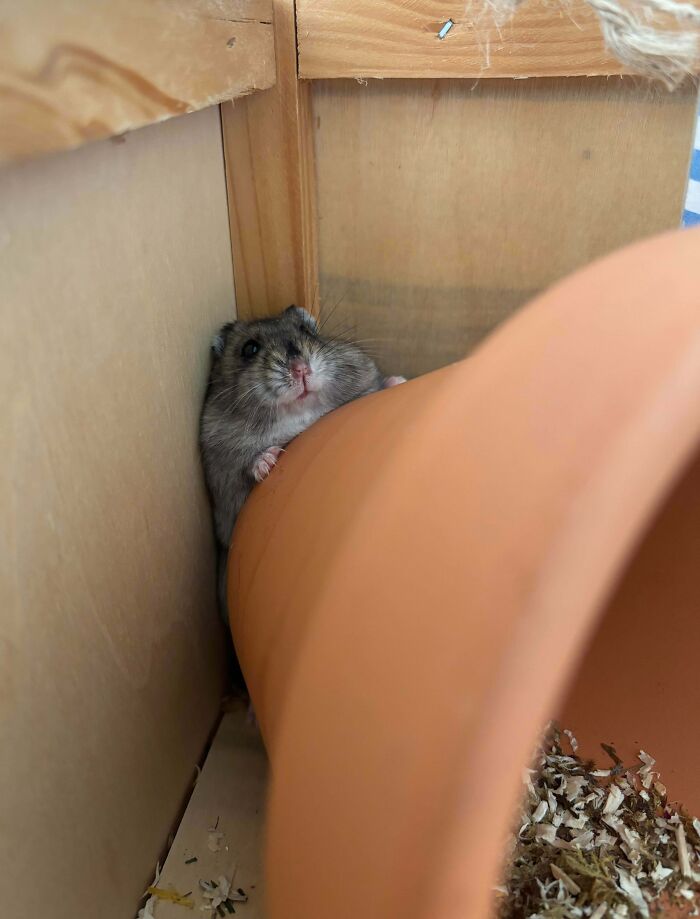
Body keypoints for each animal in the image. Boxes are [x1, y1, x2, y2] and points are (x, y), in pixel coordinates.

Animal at [199, 305, 404, 616]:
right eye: (249, 349)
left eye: (308, 331)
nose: (301, 369)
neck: (300, 413)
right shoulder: (225, 481)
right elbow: (247, 468)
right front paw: (268, 460)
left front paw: (396, 381)